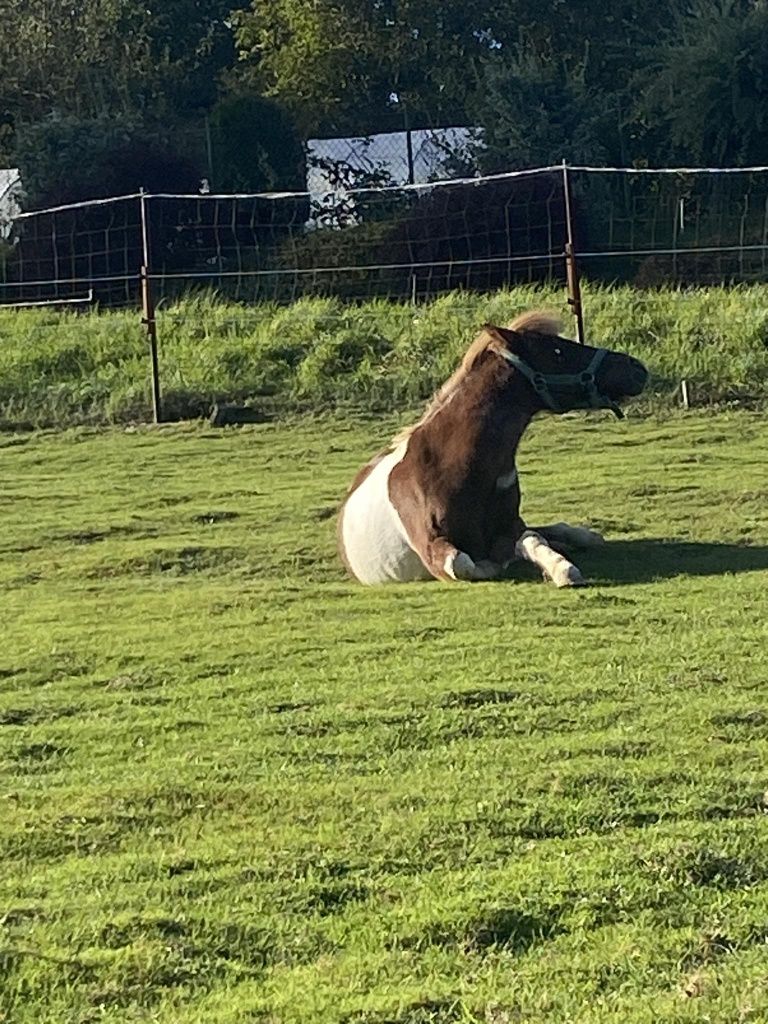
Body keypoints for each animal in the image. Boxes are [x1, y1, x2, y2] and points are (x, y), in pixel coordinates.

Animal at [335, 307, 651, 589]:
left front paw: (563, 569)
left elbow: (531, 539)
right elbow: (466, 564)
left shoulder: (511, 525)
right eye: (557, 351)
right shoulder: (433, 549)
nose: (637, 368)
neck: (451, 467)